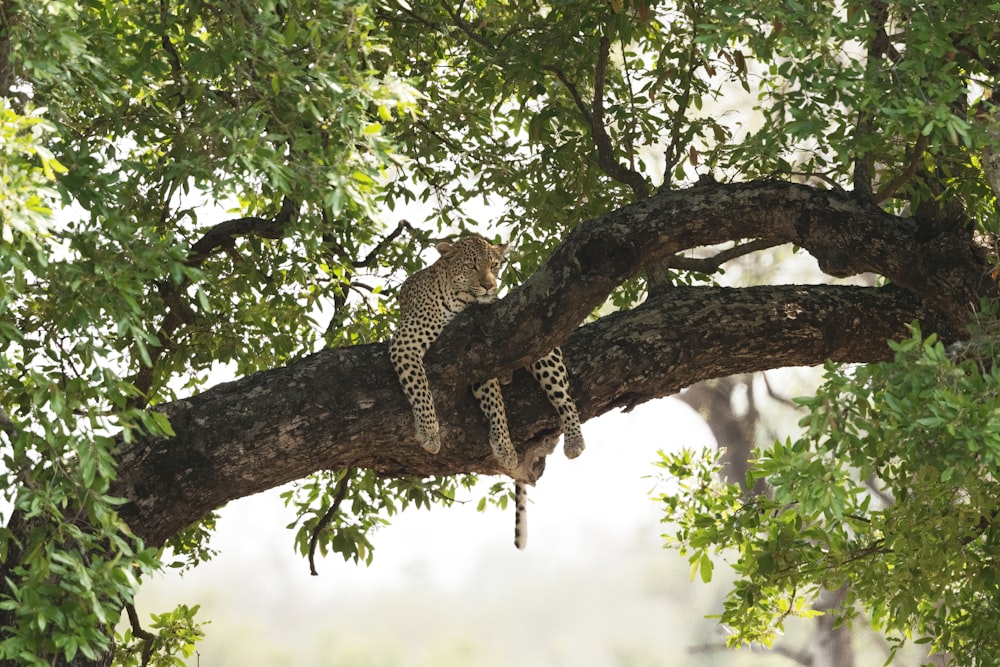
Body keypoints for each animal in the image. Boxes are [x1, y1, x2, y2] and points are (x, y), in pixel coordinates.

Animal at [386, 237, 584, 552]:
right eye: (471, 266)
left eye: (494, 265)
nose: (490, 286)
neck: (460, 300)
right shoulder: (407, 341)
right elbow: (421, 387)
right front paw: (429, 432)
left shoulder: (484, 354)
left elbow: (495, 404)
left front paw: (504, 447)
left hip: (541, 340)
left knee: (564, 396)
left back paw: (574, 439)